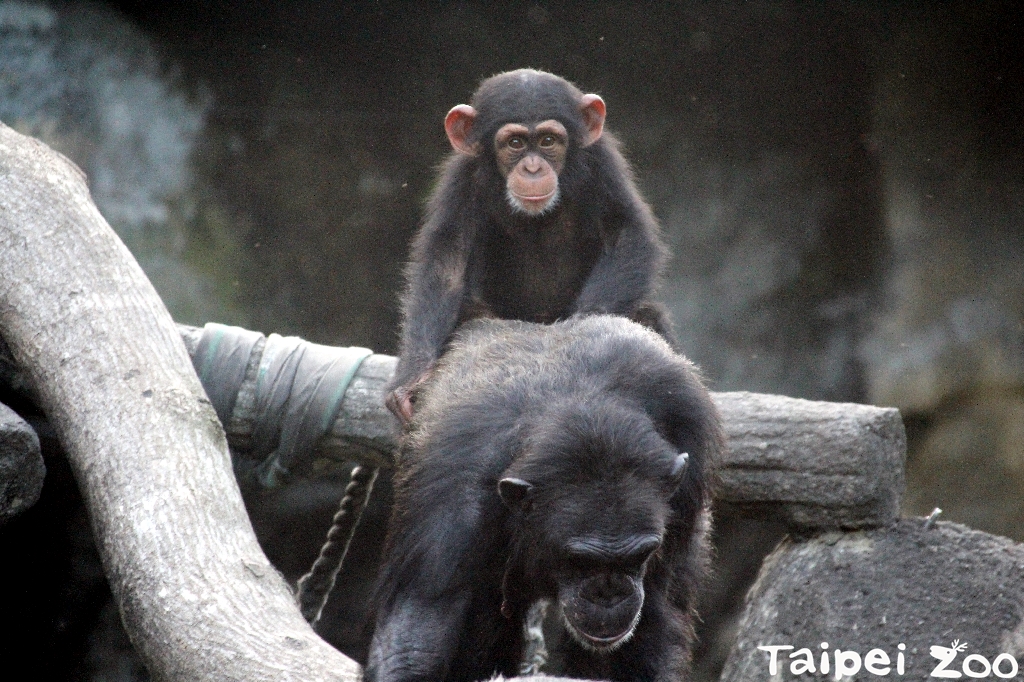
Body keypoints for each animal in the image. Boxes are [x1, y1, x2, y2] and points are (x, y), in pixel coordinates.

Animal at [368, 315, 720, 679]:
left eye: (640, 555)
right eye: (580, 559)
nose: (609, 593)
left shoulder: (686, 449)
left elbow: (655, 610)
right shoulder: (454, 493)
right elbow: (419, 631)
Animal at [385, 69, 671, 419]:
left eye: (548, 141)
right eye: (515, 143)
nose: (532, 168)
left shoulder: (601, 161)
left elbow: (626, 232)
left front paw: (579, 338)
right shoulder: (462, 177)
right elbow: (446, 261)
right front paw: (414, 375)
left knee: (647, 315)